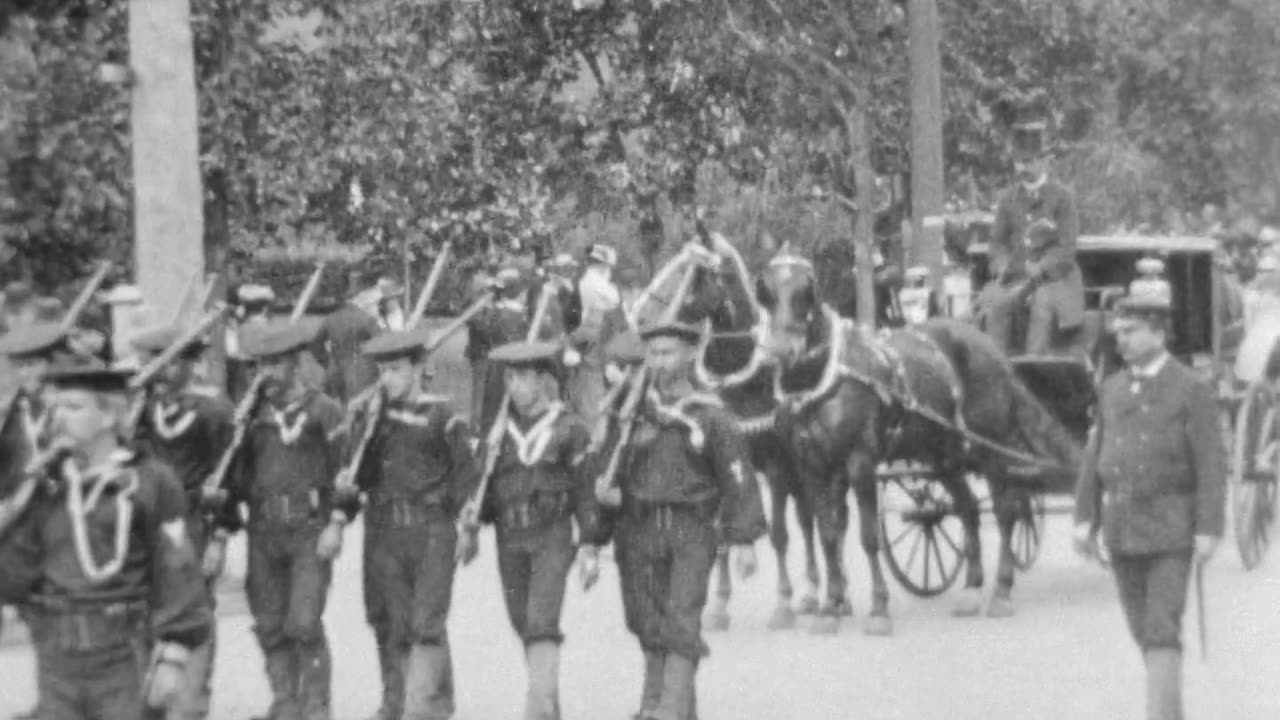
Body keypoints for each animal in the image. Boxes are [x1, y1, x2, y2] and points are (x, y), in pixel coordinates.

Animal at [752, 243, 1085, 630]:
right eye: (766, 291)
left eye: (806, 291)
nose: (779, 351)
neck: (822, 377)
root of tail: (991, 349)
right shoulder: (811, 465)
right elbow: (828, 534)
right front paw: (830, 606)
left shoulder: (859, 461)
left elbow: (868, 536)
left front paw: (878, 608)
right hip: (942, 453)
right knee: (969, 508)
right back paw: (972, 588)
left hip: (989, 446)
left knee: (1007, 509)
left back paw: (1001, 590)